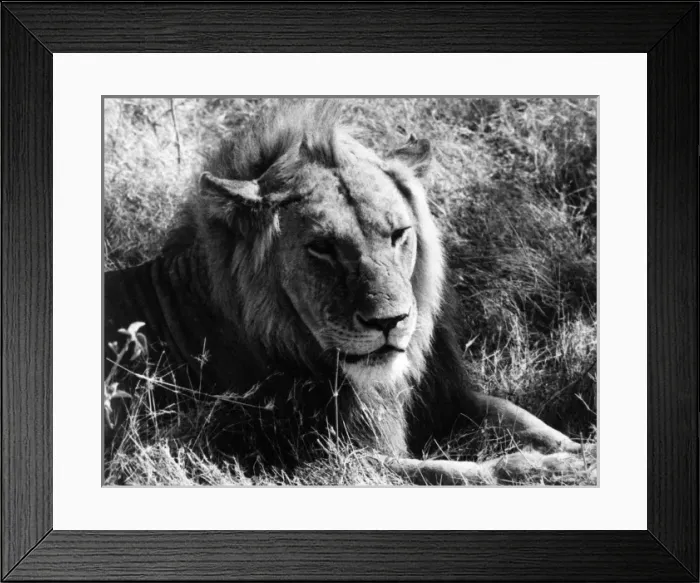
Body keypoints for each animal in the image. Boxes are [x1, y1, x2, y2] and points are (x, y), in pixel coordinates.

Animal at [104, 100, 587, 484]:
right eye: (322, 248)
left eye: (398, 234)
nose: (389, 322)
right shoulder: (326, 459)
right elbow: (463, 472)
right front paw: (553, 469)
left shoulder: (447, 397)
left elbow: (519, 414)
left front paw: (582, 450)